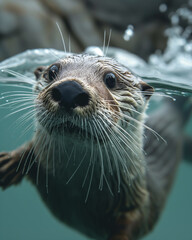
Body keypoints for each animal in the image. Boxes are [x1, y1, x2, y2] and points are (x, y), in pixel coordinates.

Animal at [0, 54, 188, 240]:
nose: (70, 89)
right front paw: (6, 163)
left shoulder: (136, 204)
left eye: (111, 79)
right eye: (52, 71)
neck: (76, 185)